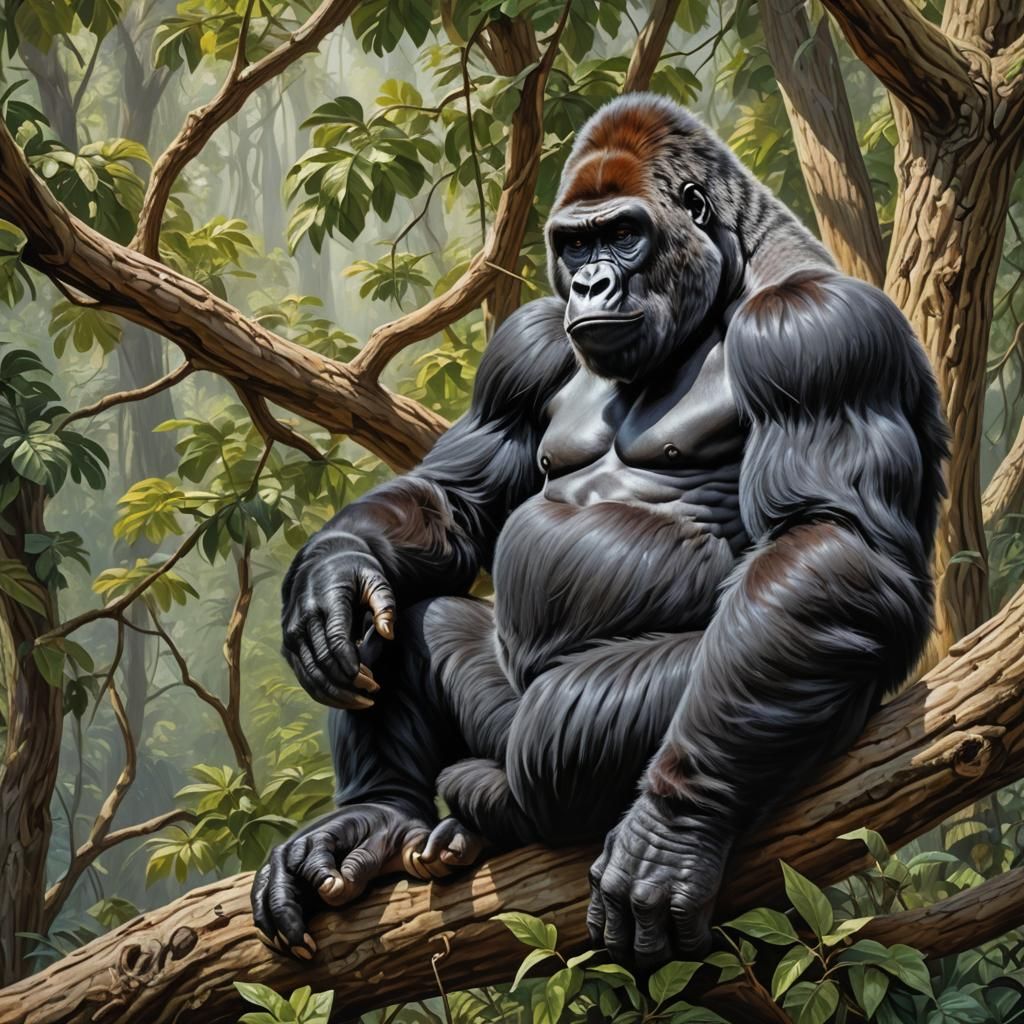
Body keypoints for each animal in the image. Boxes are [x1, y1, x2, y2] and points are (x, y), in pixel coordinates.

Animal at [251, 93, 948, 968]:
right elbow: (453, 502)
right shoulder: (526, 341)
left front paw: (670, 830)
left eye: (623, 233)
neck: (726, 275)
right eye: (575, 243)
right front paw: (331, 574)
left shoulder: (815, 327)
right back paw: (378, 815)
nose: (590, 282)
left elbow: (829, 538)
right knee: (410, 615)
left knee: (554, 732)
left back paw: (496, 805)